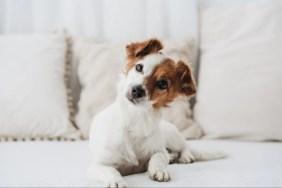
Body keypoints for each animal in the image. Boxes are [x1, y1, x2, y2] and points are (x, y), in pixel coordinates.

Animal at [87, 39, 225, 187]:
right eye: (139, 67)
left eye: (162, 84)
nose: (137, 90)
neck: (137, 119)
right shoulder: (97, 164)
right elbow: (110, 170)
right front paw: (117, 181)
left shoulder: (159, 151)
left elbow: (158, 156)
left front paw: (159, 170)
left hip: (172, 136)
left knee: (185, 146)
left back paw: (185, 156)